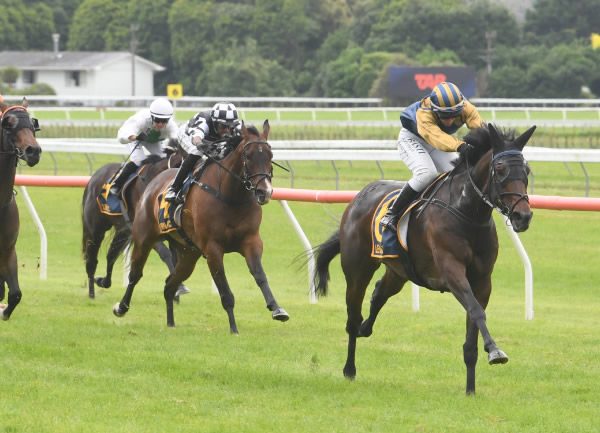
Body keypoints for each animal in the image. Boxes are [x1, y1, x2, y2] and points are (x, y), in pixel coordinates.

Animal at [113, 120, 290, 332]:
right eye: (248, 155)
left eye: (270, 155)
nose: (265, 192)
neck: (231, 197)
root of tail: (153, 184)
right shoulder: (213, 249)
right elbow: (225, 291)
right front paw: (234, 329)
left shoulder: (251, 241)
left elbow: (260, 275)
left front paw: (277, 309)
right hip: (144, 238)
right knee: (135, 274)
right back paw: (121, 307)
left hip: (189, 252)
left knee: (169, 284)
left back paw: (171, 323)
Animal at [314, 123, 536, 394]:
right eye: (501, 169)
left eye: (527, 169)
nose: (523, 216)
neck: (467, 212)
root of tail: (358, 197)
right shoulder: (452, 272)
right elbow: (476, 311)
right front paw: (495, 351)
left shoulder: (483, 281)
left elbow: (472, 330)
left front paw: (470, 389)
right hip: (357, 269)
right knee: (352, 317)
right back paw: (349, 368)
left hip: (398, 271)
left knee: (378, 294)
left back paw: (367, 328)